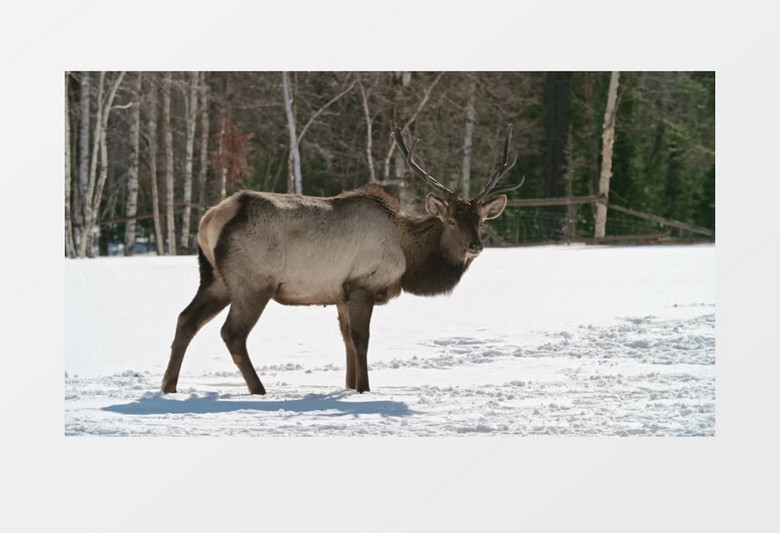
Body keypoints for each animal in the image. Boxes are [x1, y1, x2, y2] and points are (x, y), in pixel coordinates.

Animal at [161, 122, 524, 392]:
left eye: (479, 220)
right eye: (450, 221)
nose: (475, 246)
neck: (408, 256)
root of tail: (210, 219)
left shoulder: (339, 293)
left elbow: (346, 339)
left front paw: (349, 386)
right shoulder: (363, 284)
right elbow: (361, 341)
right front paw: (364, 388)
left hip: (215, 279)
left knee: (185, 319)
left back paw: (168, 387)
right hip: (253, 282)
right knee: (232, 333)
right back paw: (259, 390)